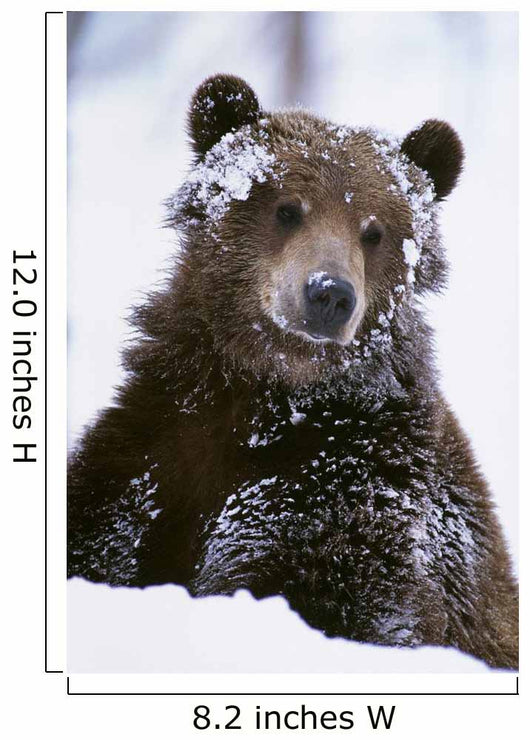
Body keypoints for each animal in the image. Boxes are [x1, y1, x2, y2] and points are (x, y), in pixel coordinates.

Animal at [68, 74, 518, 670]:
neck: (268, 394)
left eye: (373, 231)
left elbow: (329, 591)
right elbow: (100, 528)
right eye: (287, 208)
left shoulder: (347, 487)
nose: (330, 294)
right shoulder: (156, 443)